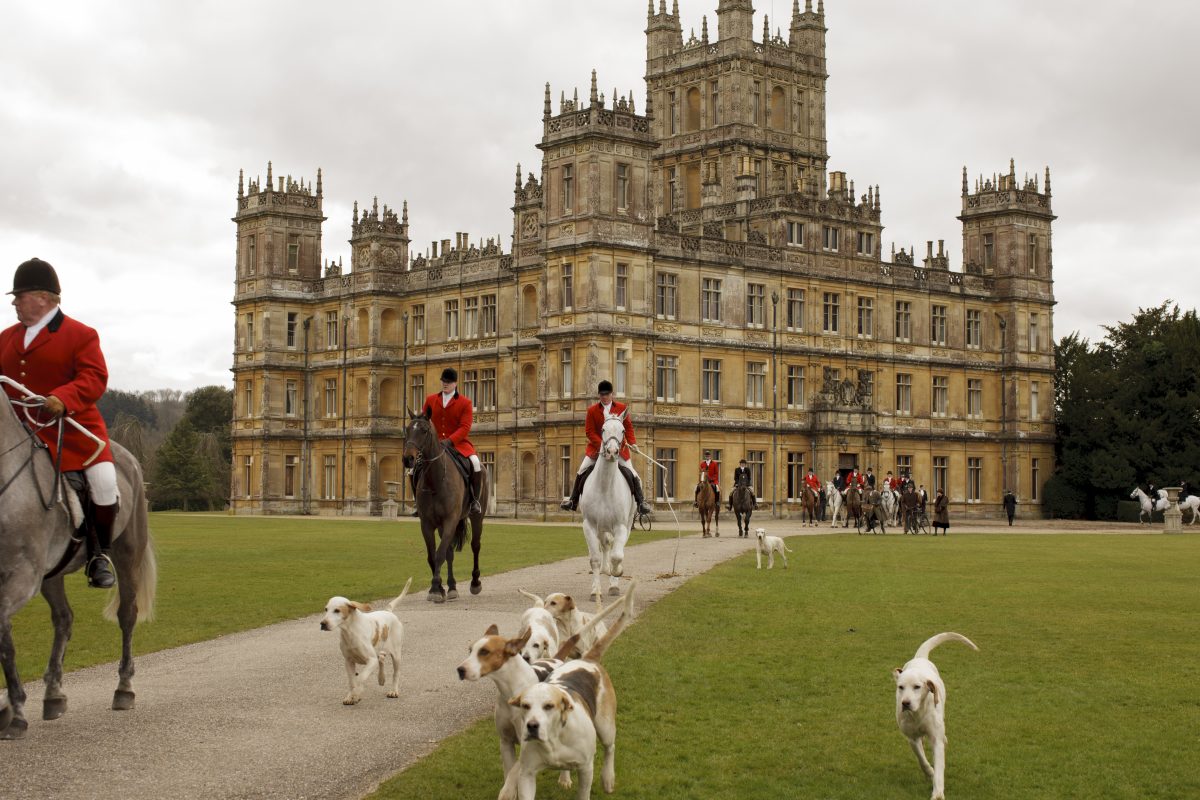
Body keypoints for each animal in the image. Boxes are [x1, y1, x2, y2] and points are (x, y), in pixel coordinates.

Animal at [0, 386, 157, 738]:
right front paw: (11, 706)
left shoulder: (23, 576)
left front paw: (14, 710)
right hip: (53, 572)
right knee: (64, 619)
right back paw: (53, 694)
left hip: (127, 552)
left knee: (127, 615)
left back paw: (124, 689)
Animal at [398, 410, 482, 604]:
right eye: (407, 429)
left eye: (424, 430)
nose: (408, 459)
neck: (435, 480)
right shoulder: (427, 524)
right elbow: (433, 556)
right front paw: (438, 588)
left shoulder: (450, 520)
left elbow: (440, 554)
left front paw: (436, 588)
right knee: (450, 552)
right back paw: (452, 587)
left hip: (476, 517)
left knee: (475, 545)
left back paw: (475, 582)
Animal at [578, 417, 638, 597]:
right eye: (603, 429)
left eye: (623, 430)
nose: (612, 452)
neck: (605, 486)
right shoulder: (589, 526)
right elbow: (595, 559)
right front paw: (595, 591)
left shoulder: (620, 526)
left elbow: (617, 555)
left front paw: (616, 576)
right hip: (600, 527)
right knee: (604, 545)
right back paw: (605, 570)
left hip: (627, 524)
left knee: (614, 548)